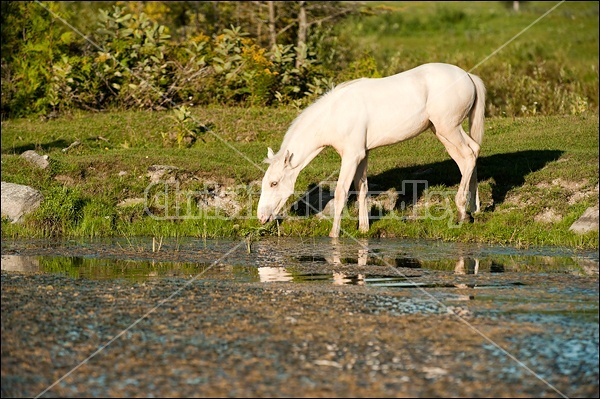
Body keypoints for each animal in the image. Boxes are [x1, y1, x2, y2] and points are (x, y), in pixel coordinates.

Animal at [255, 62, 486, 238]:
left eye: (274, 183)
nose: (261, 217)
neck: (334, 114)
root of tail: (468, 76)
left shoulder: (351, 156)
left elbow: (341, 193)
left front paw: (334, 235)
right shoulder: (362, 154)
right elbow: (362, 189)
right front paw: (364, 229)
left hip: (449, 128)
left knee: (468, 156)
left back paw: (461, 210)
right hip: (442, 131)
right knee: (471, 154)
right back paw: (474, 208)